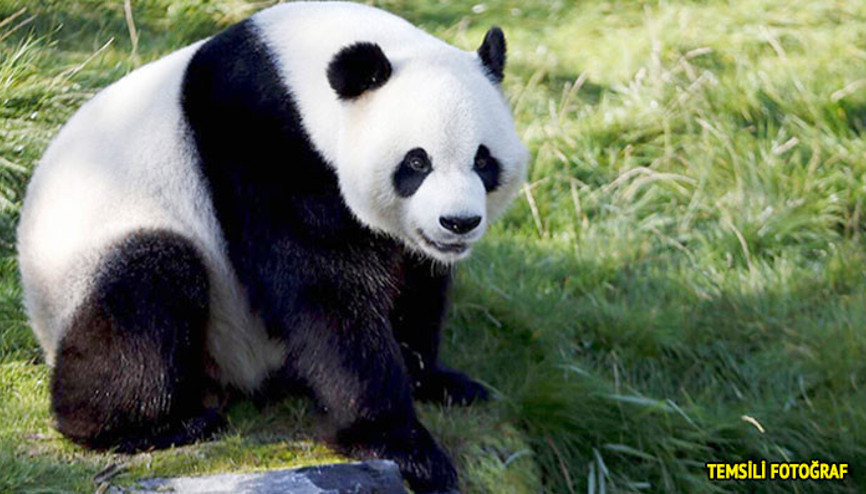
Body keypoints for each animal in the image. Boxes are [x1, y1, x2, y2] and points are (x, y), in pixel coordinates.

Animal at [16, 1, 527, 491]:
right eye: (417, 162)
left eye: (483, 160)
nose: (458, 223)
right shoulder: (267, 146)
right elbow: (324, 297)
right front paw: (403, 447)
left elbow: (415, 283)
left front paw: (434, 381)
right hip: (103, 254)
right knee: (146, 286)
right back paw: (149, 425)